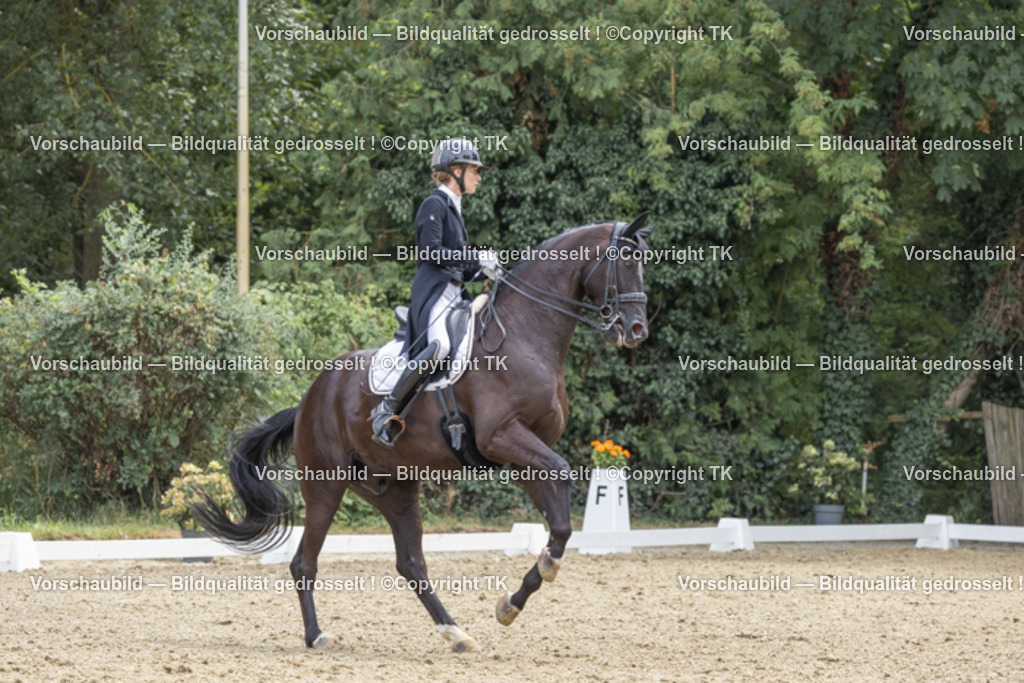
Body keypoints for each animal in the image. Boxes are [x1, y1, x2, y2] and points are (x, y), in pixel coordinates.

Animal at [195, 212, 654, 653]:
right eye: (625, 261)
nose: (636, 330)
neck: (525, 334)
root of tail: (308, 398)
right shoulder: (503, 437)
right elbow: (561, 480)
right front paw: (533, 580)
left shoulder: (523, 453)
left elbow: (559, 524)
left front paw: (514, 600)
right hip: (326, 484)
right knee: (304, 562)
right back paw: (316, 636)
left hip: (394, 487)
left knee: (411, 563)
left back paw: (456, 634)